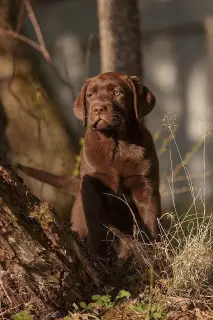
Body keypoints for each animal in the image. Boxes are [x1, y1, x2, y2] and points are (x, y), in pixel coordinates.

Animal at [17, 72, 161, 258]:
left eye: (117, 92)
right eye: (91, 95)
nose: (98, 108)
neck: (115, 144)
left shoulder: (145, 185)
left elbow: (150, 222)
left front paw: (153, 254)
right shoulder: (91, 186)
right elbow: (95, 224)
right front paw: (97, 252)